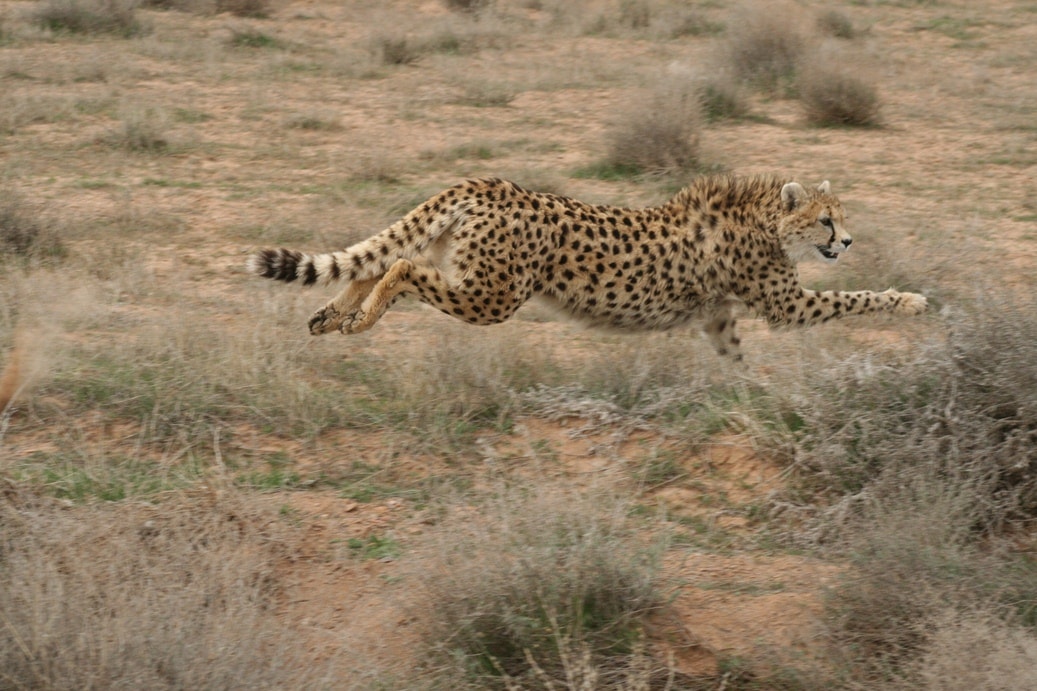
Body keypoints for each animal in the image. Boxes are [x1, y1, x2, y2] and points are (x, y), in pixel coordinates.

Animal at [246, 173, 929, 361]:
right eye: (826, 220)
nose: (848, 241)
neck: (763, 218)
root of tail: (493, 184)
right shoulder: (787, 305)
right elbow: (855, 299)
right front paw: (911, 301)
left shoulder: (716, 316)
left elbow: (734, 357)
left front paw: (750, 395)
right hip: (494, 295)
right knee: (403, 270)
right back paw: (359, 323)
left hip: (468, 271)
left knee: (385, 262)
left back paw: (331, 317)